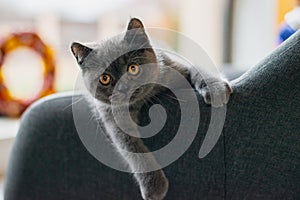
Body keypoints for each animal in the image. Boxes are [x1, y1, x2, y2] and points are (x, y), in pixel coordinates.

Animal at [71, 18, 232, 199]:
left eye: (133, 68)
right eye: (104, 79)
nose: (124, 88)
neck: (142, 100)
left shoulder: (176, 66)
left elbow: (197, 69)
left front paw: (216, 89)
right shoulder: (113, 118)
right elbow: (131, 148)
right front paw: (154, 186)